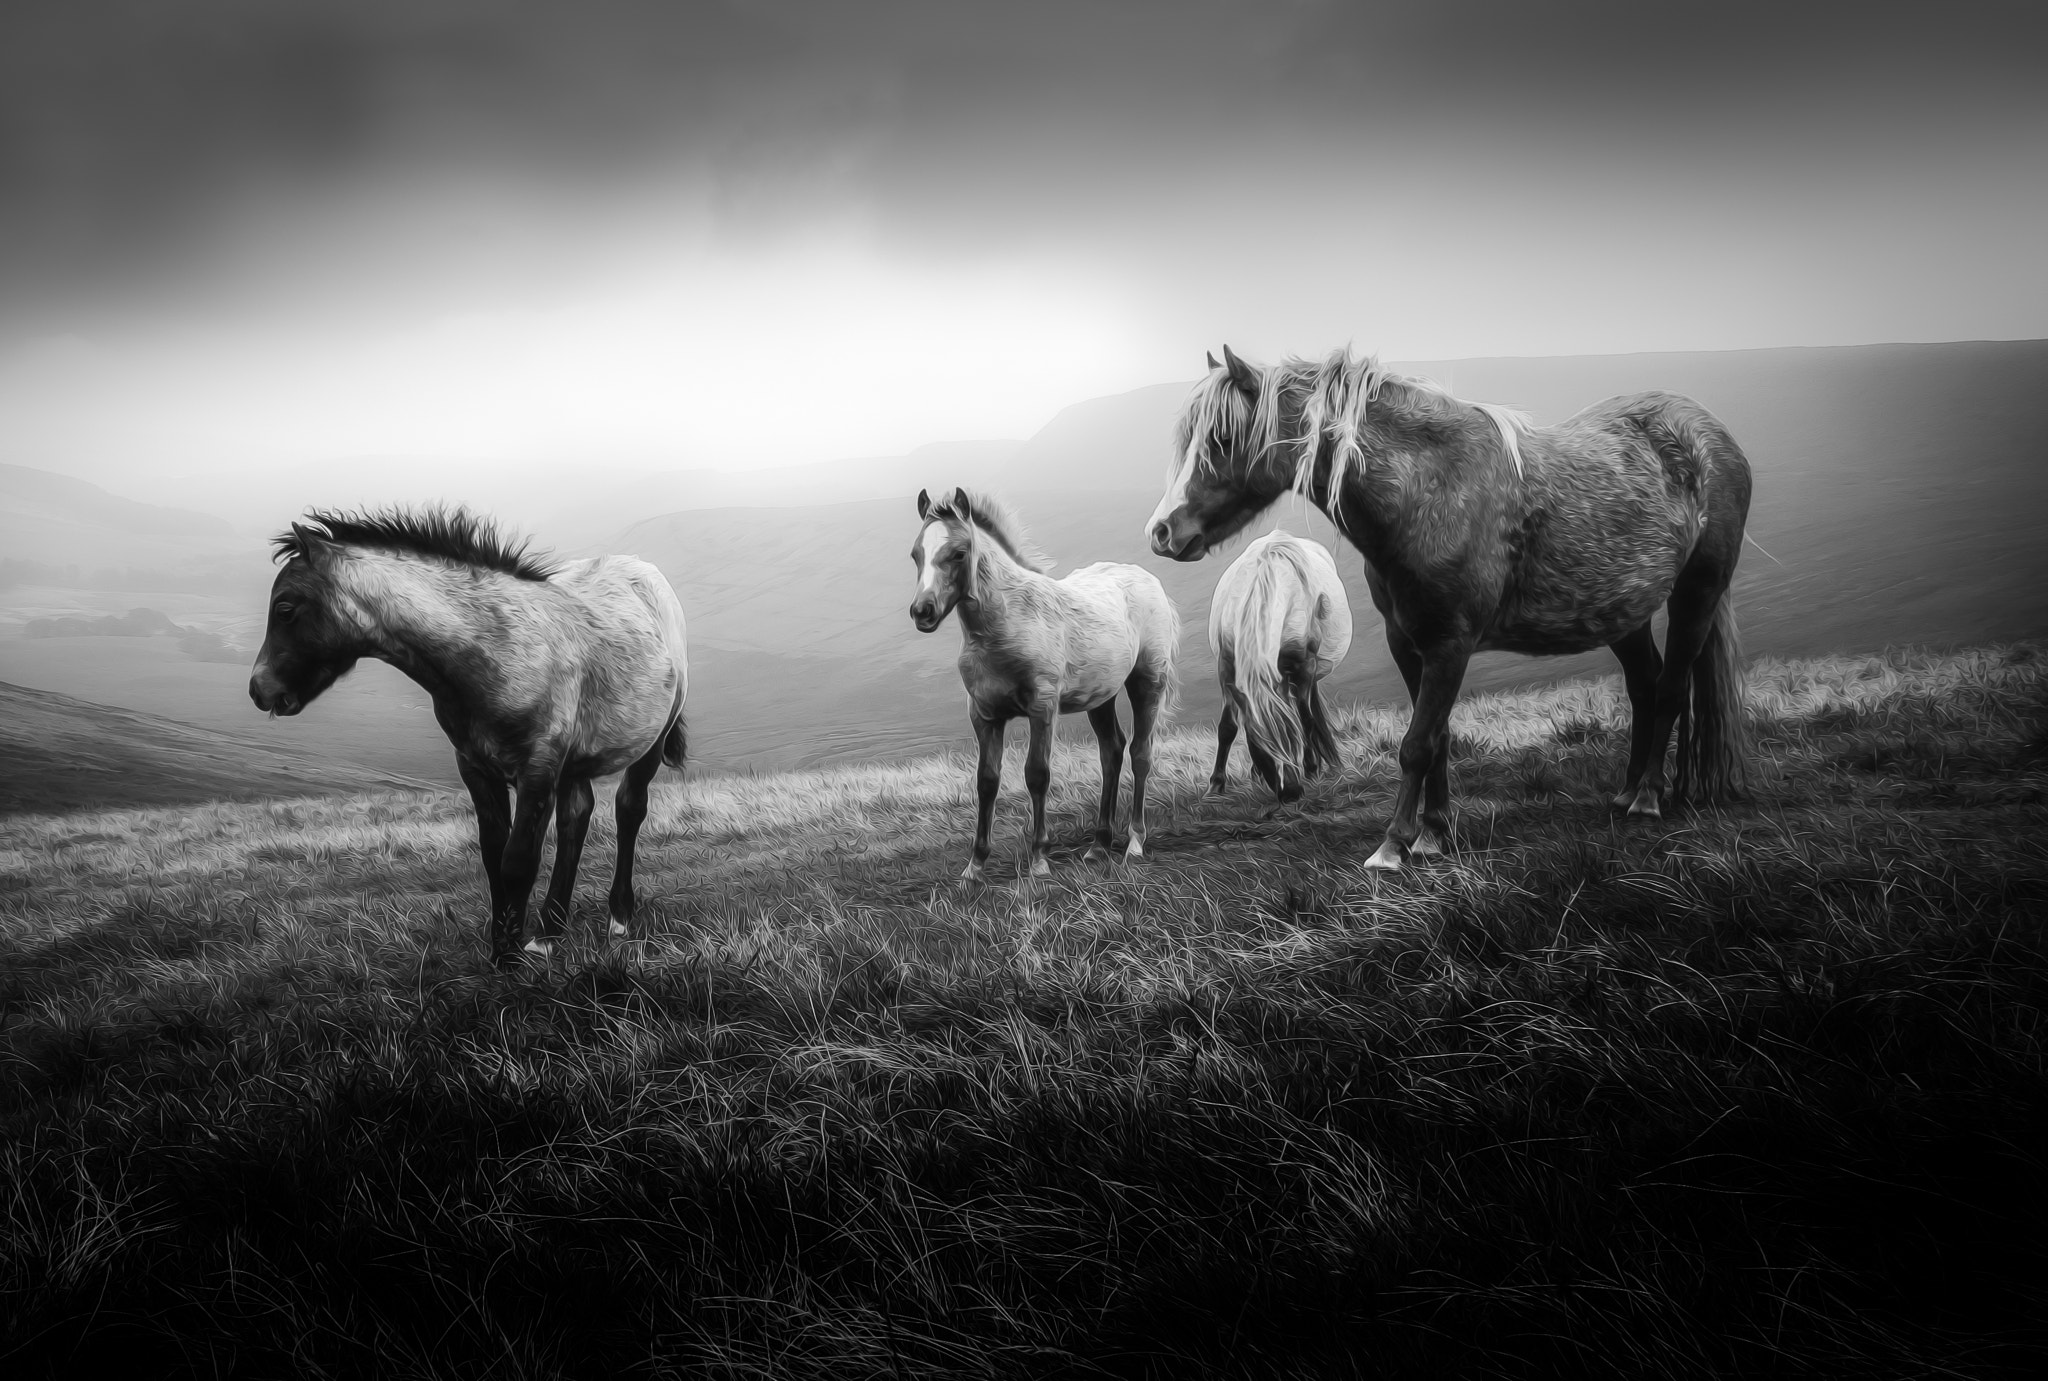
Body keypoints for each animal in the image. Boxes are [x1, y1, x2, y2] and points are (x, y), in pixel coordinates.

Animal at [248, 499, 692, 963]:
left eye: (285, 608)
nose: (259, 690)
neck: (497, 649)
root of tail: (644, 570)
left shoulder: (538, 769)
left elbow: (518, 862)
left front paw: (511, 963)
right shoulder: (476, 767)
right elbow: (493, 856)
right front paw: (502, 953)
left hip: (649, 744)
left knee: (629, 810)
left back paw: (619, 917)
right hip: (574, 766)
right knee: (578, 816)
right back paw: (549, 934)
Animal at [909, 489, 1179, 876]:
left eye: (959, 552)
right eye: (916, 553)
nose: (922, 612)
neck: (1008, 624)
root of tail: (1148, 579)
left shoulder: (1043, 707)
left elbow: (1037, 774)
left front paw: (1038, 859)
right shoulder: (984, 715)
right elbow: (986, 781)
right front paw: (975, 867)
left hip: (1147, 682)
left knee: (1140, 753)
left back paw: (1135, 844)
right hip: (1101, 697)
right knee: (1111, 751)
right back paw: (1098, 845)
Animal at [1204, 528, 1351, 807]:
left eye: (1293, 738)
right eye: (1259, 744)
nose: (1291, 793)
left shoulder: (1304, 667)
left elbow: (1305, 718)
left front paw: (1312, 768)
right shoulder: (1227, 670)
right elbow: (1228, 727)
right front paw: (1215, 786)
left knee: (1308, 710)